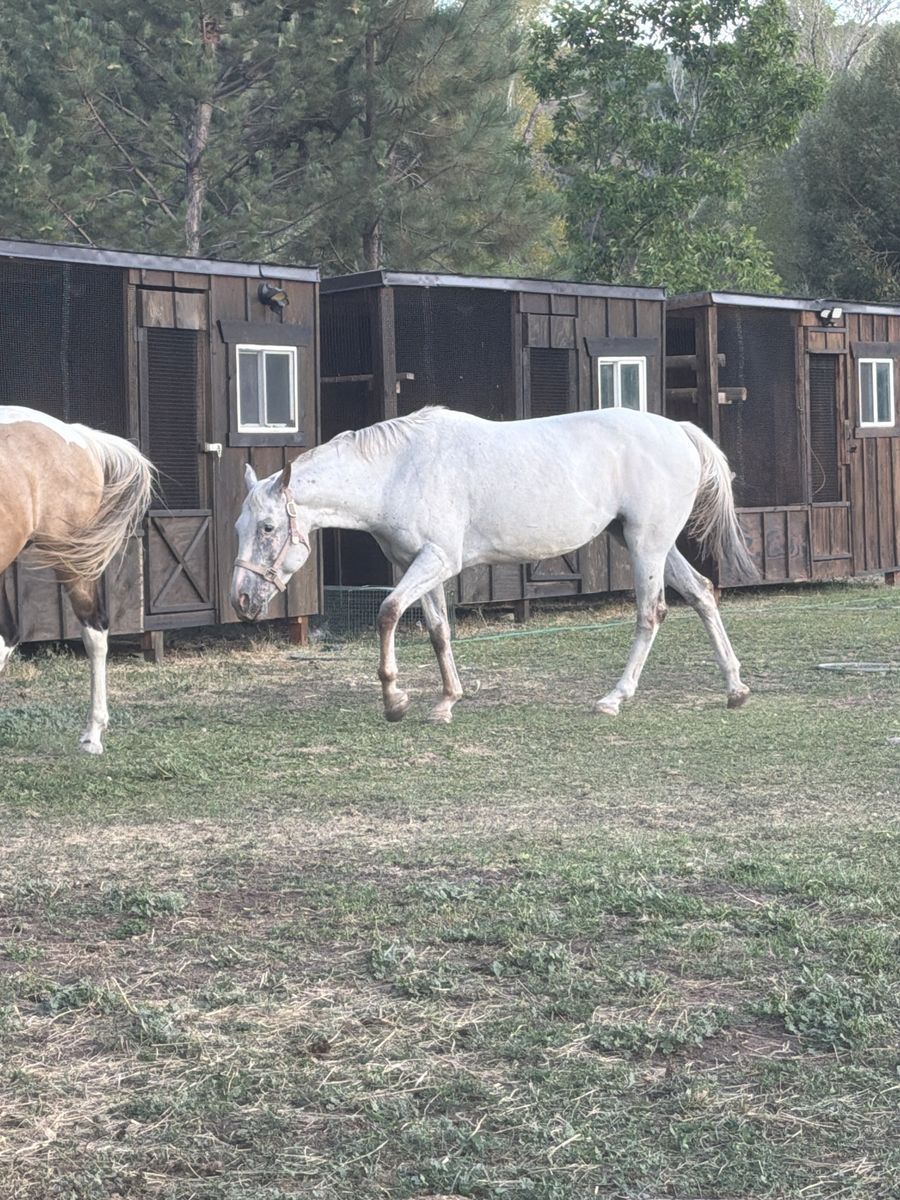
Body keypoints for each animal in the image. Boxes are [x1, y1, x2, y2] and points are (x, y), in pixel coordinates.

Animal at [231, 406, 755, 724]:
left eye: (268, 528)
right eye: (239, 526)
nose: (242, 599)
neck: (399, 470)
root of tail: (678, 430)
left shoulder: (436, 559)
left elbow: (388, 612)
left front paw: (395, 700)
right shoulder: (423, 564)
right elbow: (438, 629)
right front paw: (446, 701)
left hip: (646, 544)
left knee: (651, 613)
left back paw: (614, 698)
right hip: (652, 543)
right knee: (702, 593)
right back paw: (735, 688)